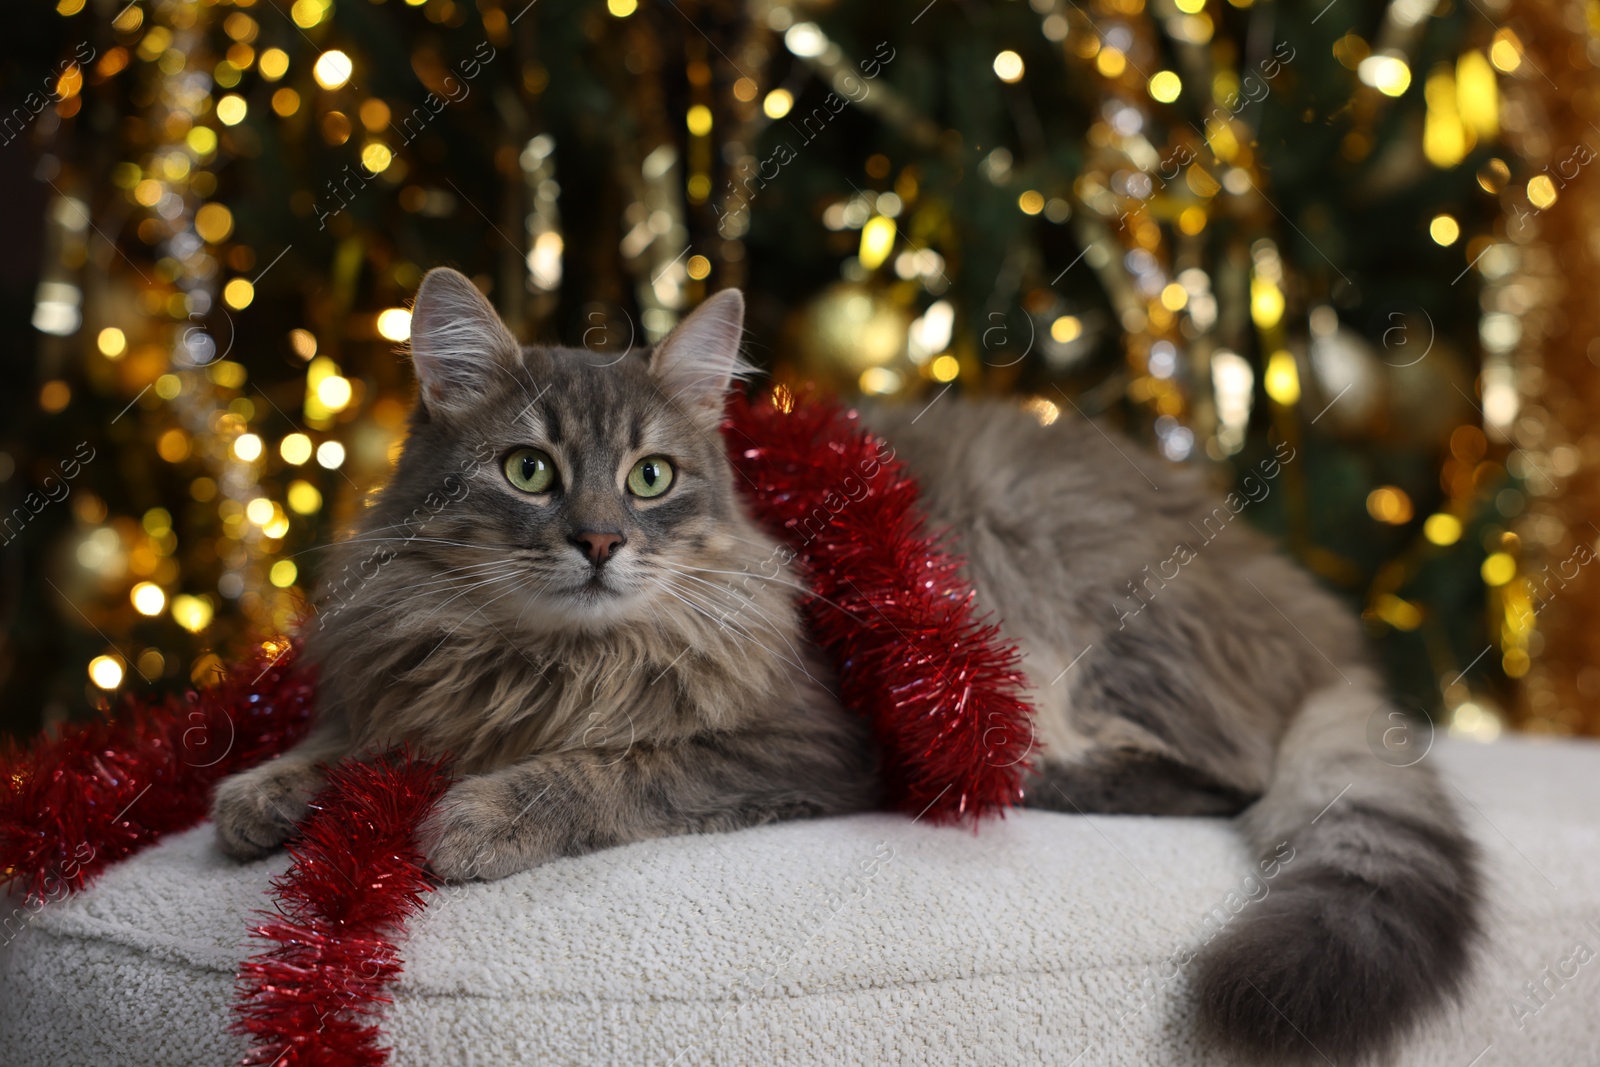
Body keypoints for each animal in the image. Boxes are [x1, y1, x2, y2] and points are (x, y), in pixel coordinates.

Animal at [209, 265, 1472, 1062]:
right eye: (528, 470)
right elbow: (345, 736)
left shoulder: (801, 738)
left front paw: (477, 813)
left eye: (653, 478)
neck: (534, 656)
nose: (601, 541)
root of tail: (1318, 616)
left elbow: (610, 767)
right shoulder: (410, 673)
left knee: (1210, 777)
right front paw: (262, 788)